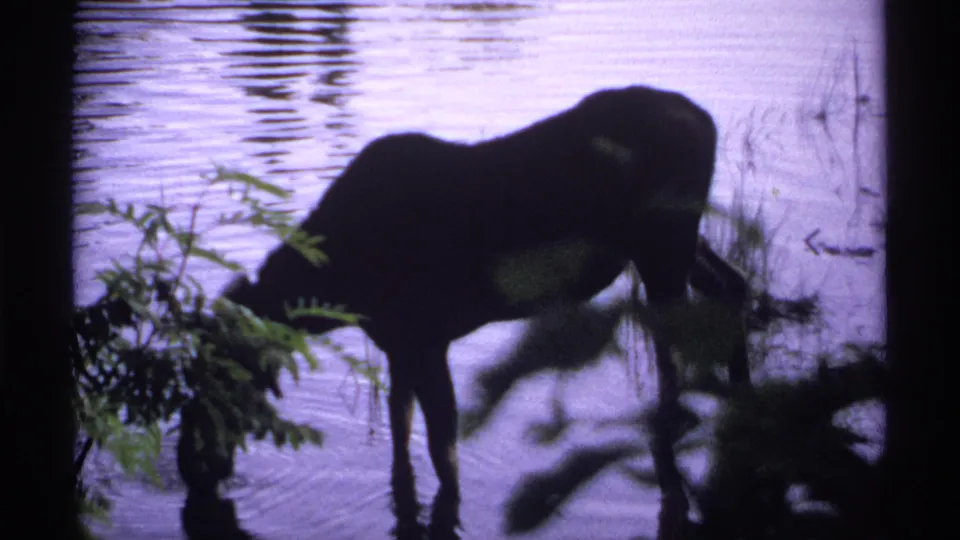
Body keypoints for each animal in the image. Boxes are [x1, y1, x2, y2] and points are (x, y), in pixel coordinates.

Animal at [196, 85, 753, 539]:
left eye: (219, 380)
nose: (194, 466)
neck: (339, 284)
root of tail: (707, 120)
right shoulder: (398, 346)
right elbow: (402, 442)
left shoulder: (427, 340)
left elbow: (444, 454)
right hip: (674, 245)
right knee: (734, 285)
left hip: (663, 247)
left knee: (675, 358)